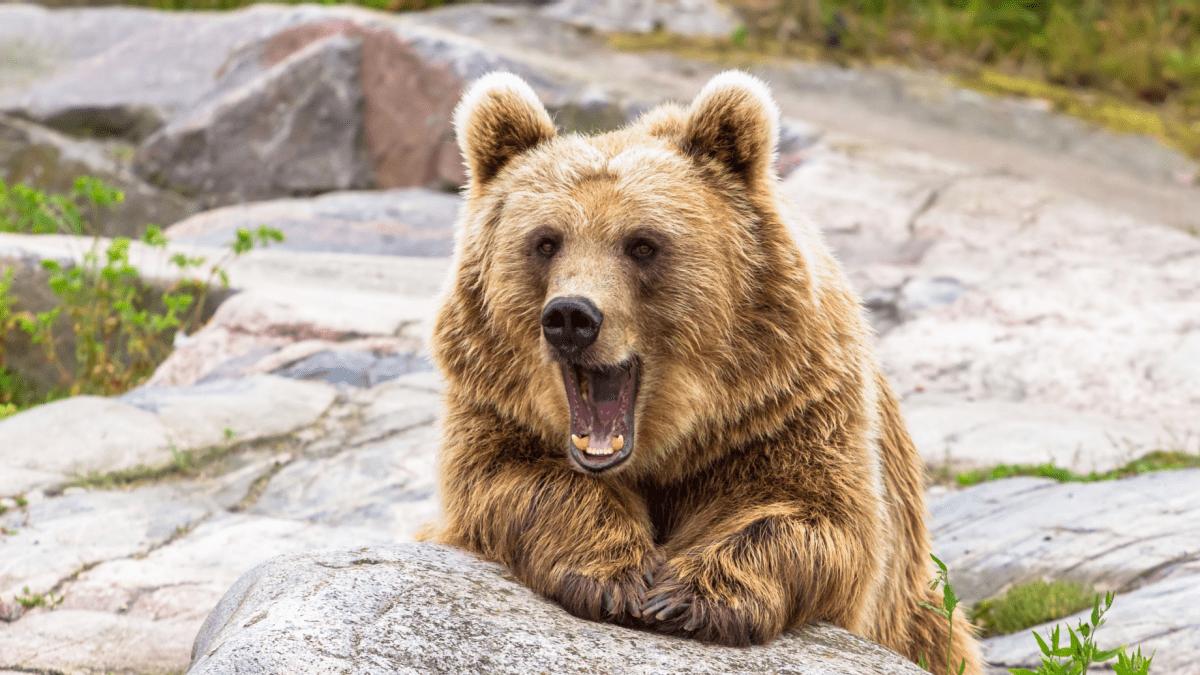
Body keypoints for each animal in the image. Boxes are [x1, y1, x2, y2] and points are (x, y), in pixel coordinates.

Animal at [424, 70, 981, 674]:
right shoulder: (494, 408)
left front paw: (689, 597)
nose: (571, 317)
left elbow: (821, 518)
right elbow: (512, 480)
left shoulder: (788, 410)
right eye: (545, 241)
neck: (672, 444)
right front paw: (615, 573)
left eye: (643, 244)